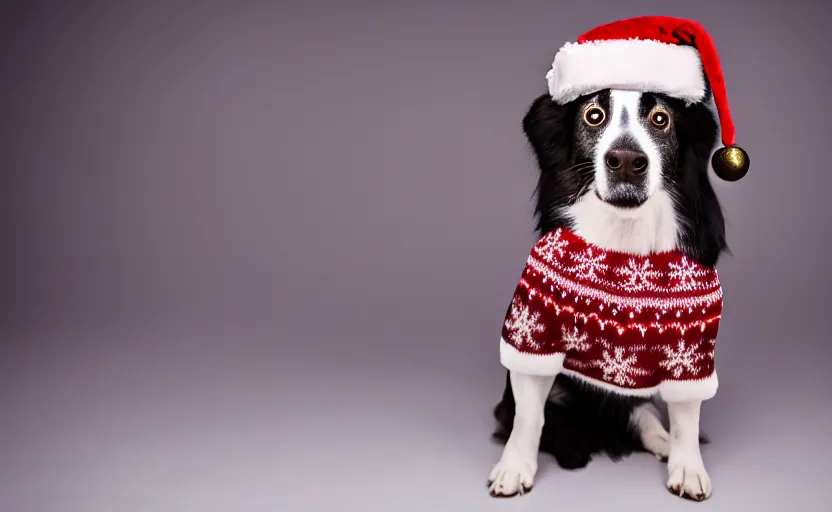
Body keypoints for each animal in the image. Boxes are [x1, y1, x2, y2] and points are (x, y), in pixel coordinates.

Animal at [488, 87, 728, 500]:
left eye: (661, 118)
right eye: (594, 115)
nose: (627, 162)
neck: (623, 232)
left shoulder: (693, 344)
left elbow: (686, 414)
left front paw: (688, 467)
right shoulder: (534, 328)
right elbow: (528, 414)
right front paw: (514, 467)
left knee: (639, 411)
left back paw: (662, 442)